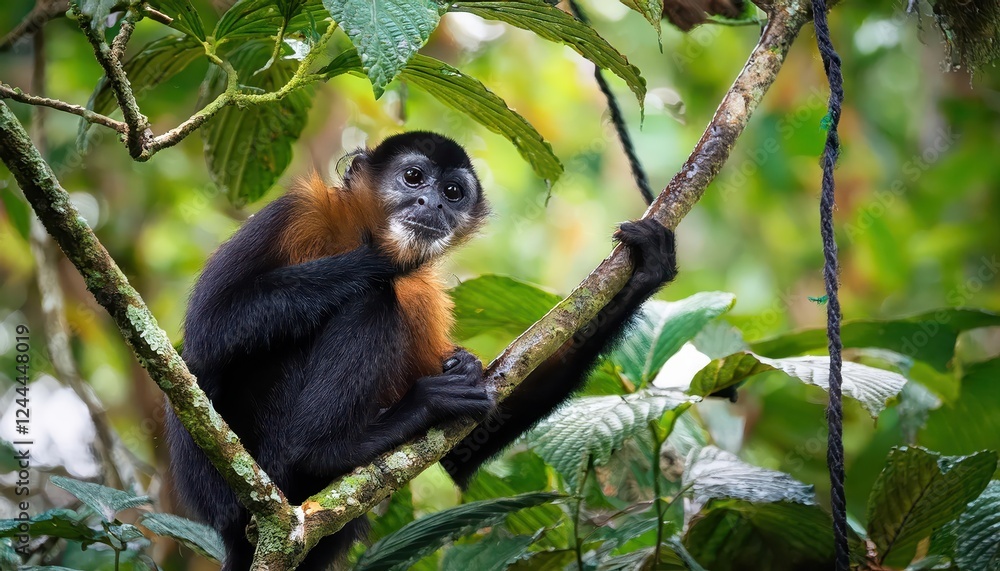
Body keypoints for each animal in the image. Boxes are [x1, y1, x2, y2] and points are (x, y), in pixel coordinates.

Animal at [164, 131, 678, 570]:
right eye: (413, 178)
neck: (359, 231)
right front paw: (381, 264)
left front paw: (645, 273)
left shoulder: (426, 296)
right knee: (368, 302)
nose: (432, 204)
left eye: (452, 191)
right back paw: (332, 447)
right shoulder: (295, 210)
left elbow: (461, 454)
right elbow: (210, 329)